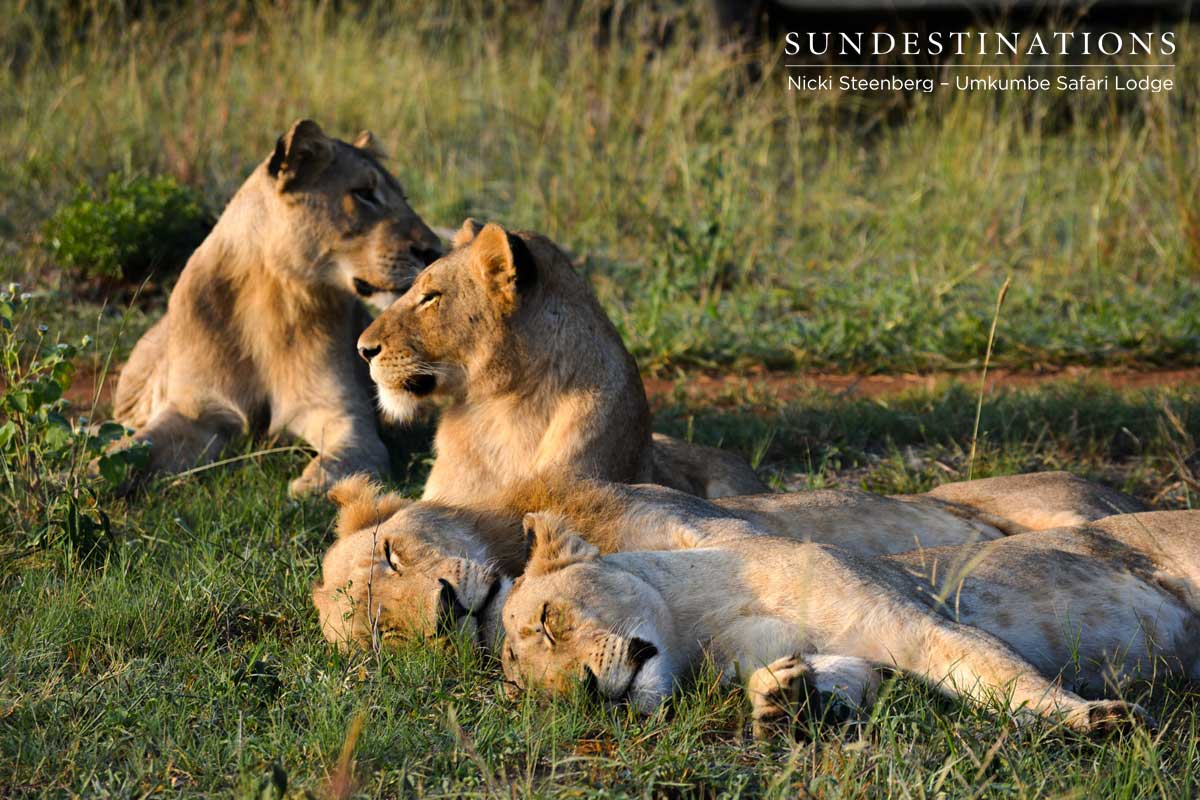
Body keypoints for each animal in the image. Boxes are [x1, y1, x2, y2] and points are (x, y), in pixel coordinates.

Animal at [110, 119, 443, 495]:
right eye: (363, 193)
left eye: (403, 197)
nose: (434, 250)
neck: (270, 296)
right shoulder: (195, 410)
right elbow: (131, 449)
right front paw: (82, 478)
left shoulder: (340, 411)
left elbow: (349, 452)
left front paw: (314, 484)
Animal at [500, 508, 1200, 736]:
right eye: (538, 694)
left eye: (548, 621)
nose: (589, 692)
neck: (698, 625)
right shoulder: (861, 655)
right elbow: (844, 678)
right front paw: (783, 702)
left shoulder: (911, 623)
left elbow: (1001, 676)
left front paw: (1094, 719)